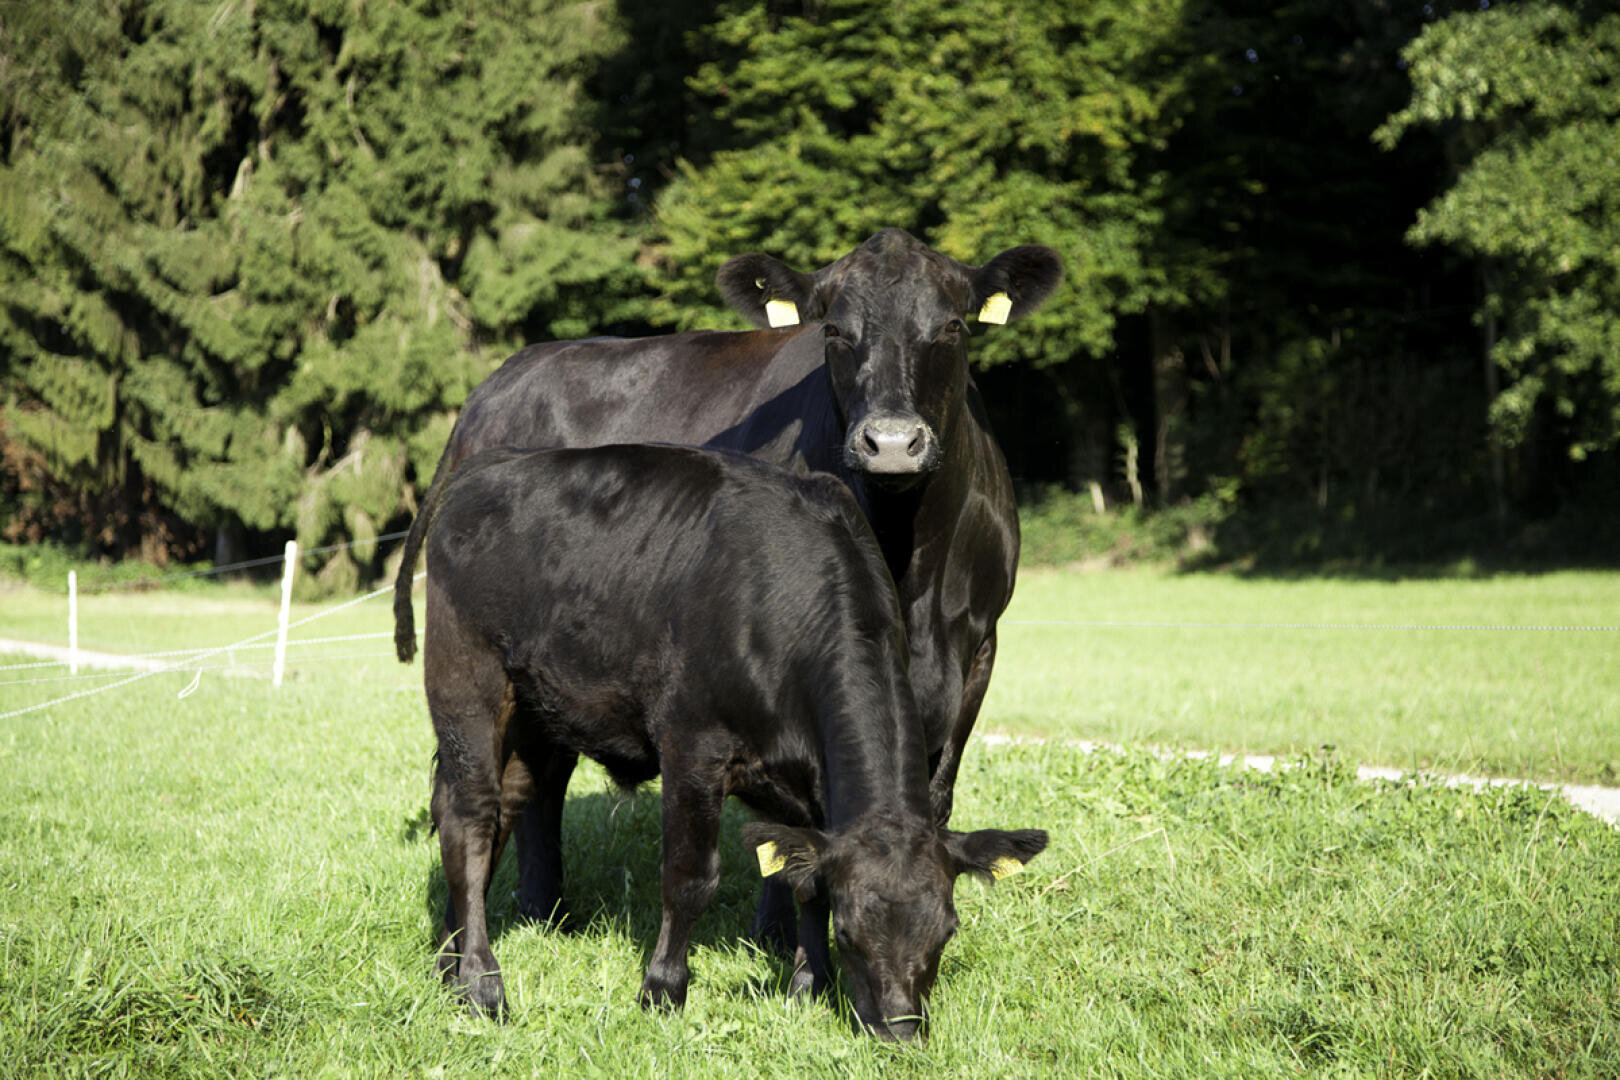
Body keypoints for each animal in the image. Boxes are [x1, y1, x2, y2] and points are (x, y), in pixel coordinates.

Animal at [394, 227, 1063, 946]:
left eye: (953, 325)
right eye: (833, 329)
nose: (890, 443)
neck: (912, 568)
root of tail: (496, 384)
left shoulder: (977, 654)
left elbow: (931, 802)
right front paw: (779, 932)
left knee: (535, 774)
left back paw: (537, 912)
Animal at [417, 442, 1047, 1039]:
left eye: (947, 930)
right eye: (850, 931)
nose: (899, 1030)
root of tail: (486, 465)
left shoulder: (812, 788)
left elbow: (807, 881)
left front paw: (807, 988)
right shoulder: (692, 743)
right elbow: (691, 876)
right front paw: (662, 991)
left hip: (534, 715)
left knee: (498, 813)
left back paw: (449, 962)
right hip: (465, 677)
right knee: (469, 818)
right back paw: (482, 984)